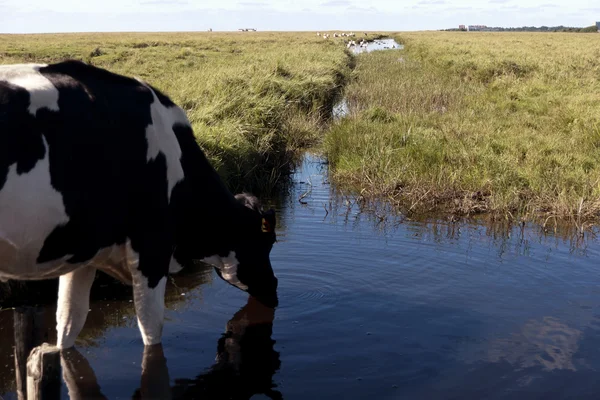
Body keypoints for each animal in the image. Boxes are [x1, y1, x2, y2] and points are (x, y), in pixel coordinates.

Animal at [0, 60, 280, 350]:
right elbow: (151, 332)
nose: (274, 288)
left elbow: (68, 325)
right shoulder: (153, 249)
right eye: (267, 242)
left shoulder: (83, 255)